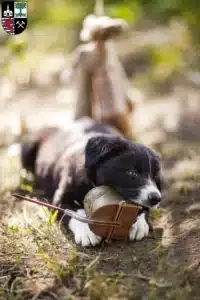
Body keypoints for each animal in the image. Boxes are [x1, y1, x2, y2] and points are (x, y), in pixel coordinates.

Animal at [20, 117, 162, 246]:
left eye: (155, 177)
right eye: (132, 173)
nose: (156, 198)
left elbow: (143, 207)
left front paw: (139, 224)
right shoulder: (59, 199)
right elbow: (75, 212)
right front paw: (86, 233)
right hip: (28, 147)